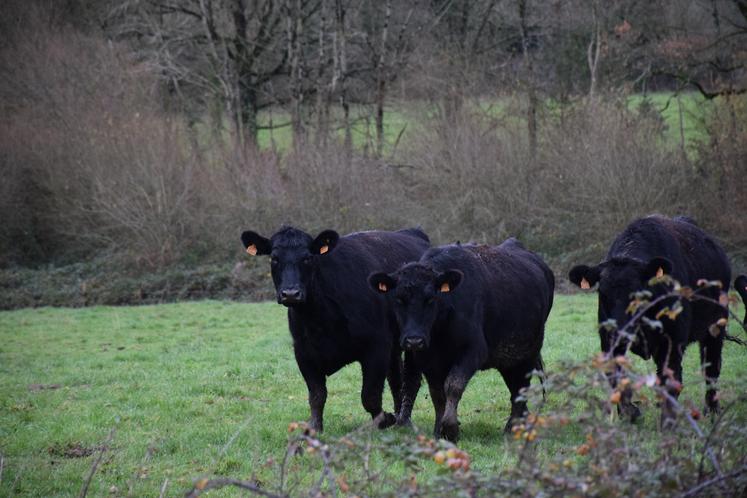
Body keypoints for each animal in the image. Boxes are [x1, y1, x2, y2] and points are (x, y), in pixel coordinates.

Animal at [240, 227, 426, 432]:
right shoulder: (303, 352)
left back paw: (404, 421)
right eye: (274, 258)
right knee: (396, 379)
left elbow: (369, 396)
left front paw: (385, 419)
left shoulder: (377, 347)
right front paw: (314, 429)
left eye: (307, 258)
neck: (320, 320)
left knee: (410, 382)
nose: (290, 294)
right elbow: (317, 395)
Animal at [370, 239, 556, 442]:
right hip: (509, 357)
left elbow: (453, 385)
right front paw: (439, 430)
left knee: (520, 388)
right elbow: (437, 394)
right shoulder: (427, 360)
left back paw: (512, 427)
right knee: (515, 386)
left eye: (431, 299)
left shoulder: (473, 350)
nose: (414, 340)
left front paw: (450, 428)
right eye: (398, 299)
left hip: (528, 351)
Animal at [568, 215, 732, 424]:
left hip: (716, 326)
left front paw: (668, 421)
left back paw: (712, 410)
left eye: (639, 294)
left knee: (711, 367)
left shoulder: (672, 341)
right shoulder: (608, 340)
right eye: (602, 293)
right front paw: (630, 413)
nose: (620, 330)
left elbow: (671, 378)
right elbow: (616, 376)